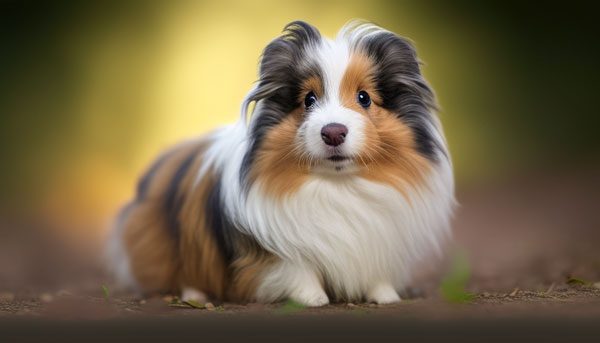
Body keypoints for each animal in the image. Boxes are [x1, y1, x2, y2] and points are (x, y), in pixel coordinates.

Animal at [109, 20, 454, 308]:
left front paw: (386, 296)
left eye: (364, 98)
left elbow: (376, 276)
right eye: (309, 100)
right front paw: (314, 299)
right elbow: (299, 271)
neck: (337, 185)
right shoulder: (279, 256)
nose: (333, 132)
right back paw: (195, 295)